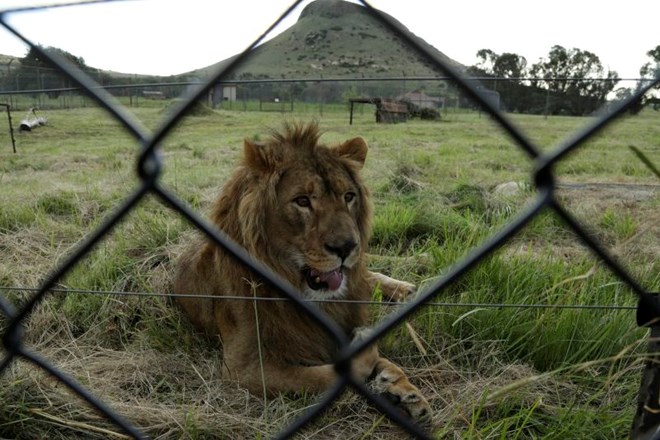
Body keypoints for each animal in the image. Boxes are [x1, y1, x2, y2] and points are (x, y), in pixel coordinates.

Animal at [175, 121, 430, 422]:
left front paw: (404, 390)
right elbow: (320, 376)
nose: (347, 247)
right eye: (303, 201)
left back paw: (410, 279)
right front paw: (373, 361)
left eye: (349, 197)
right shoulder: (242, 368)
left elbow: (385, 363)